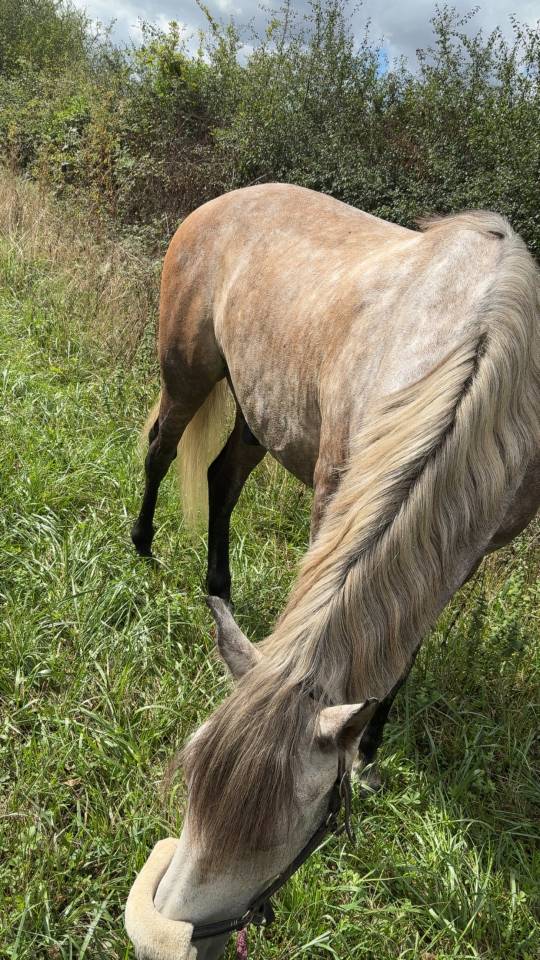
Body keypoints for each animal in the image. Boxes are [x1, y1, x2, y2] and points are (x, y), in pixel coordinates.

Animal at [128, 184, 539, 960]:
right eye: (191, 780)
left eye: (286, 831)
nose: (160, 937)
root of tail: (221, 203)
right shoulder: (333, 496)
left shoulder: (462, 556)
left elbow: (400, 655)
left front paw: (372, 755)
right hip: (186, 372)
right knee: (162, 448)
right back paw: (140, 546)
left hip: (257, 407)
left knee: (222, 477)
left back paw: (218, 589)